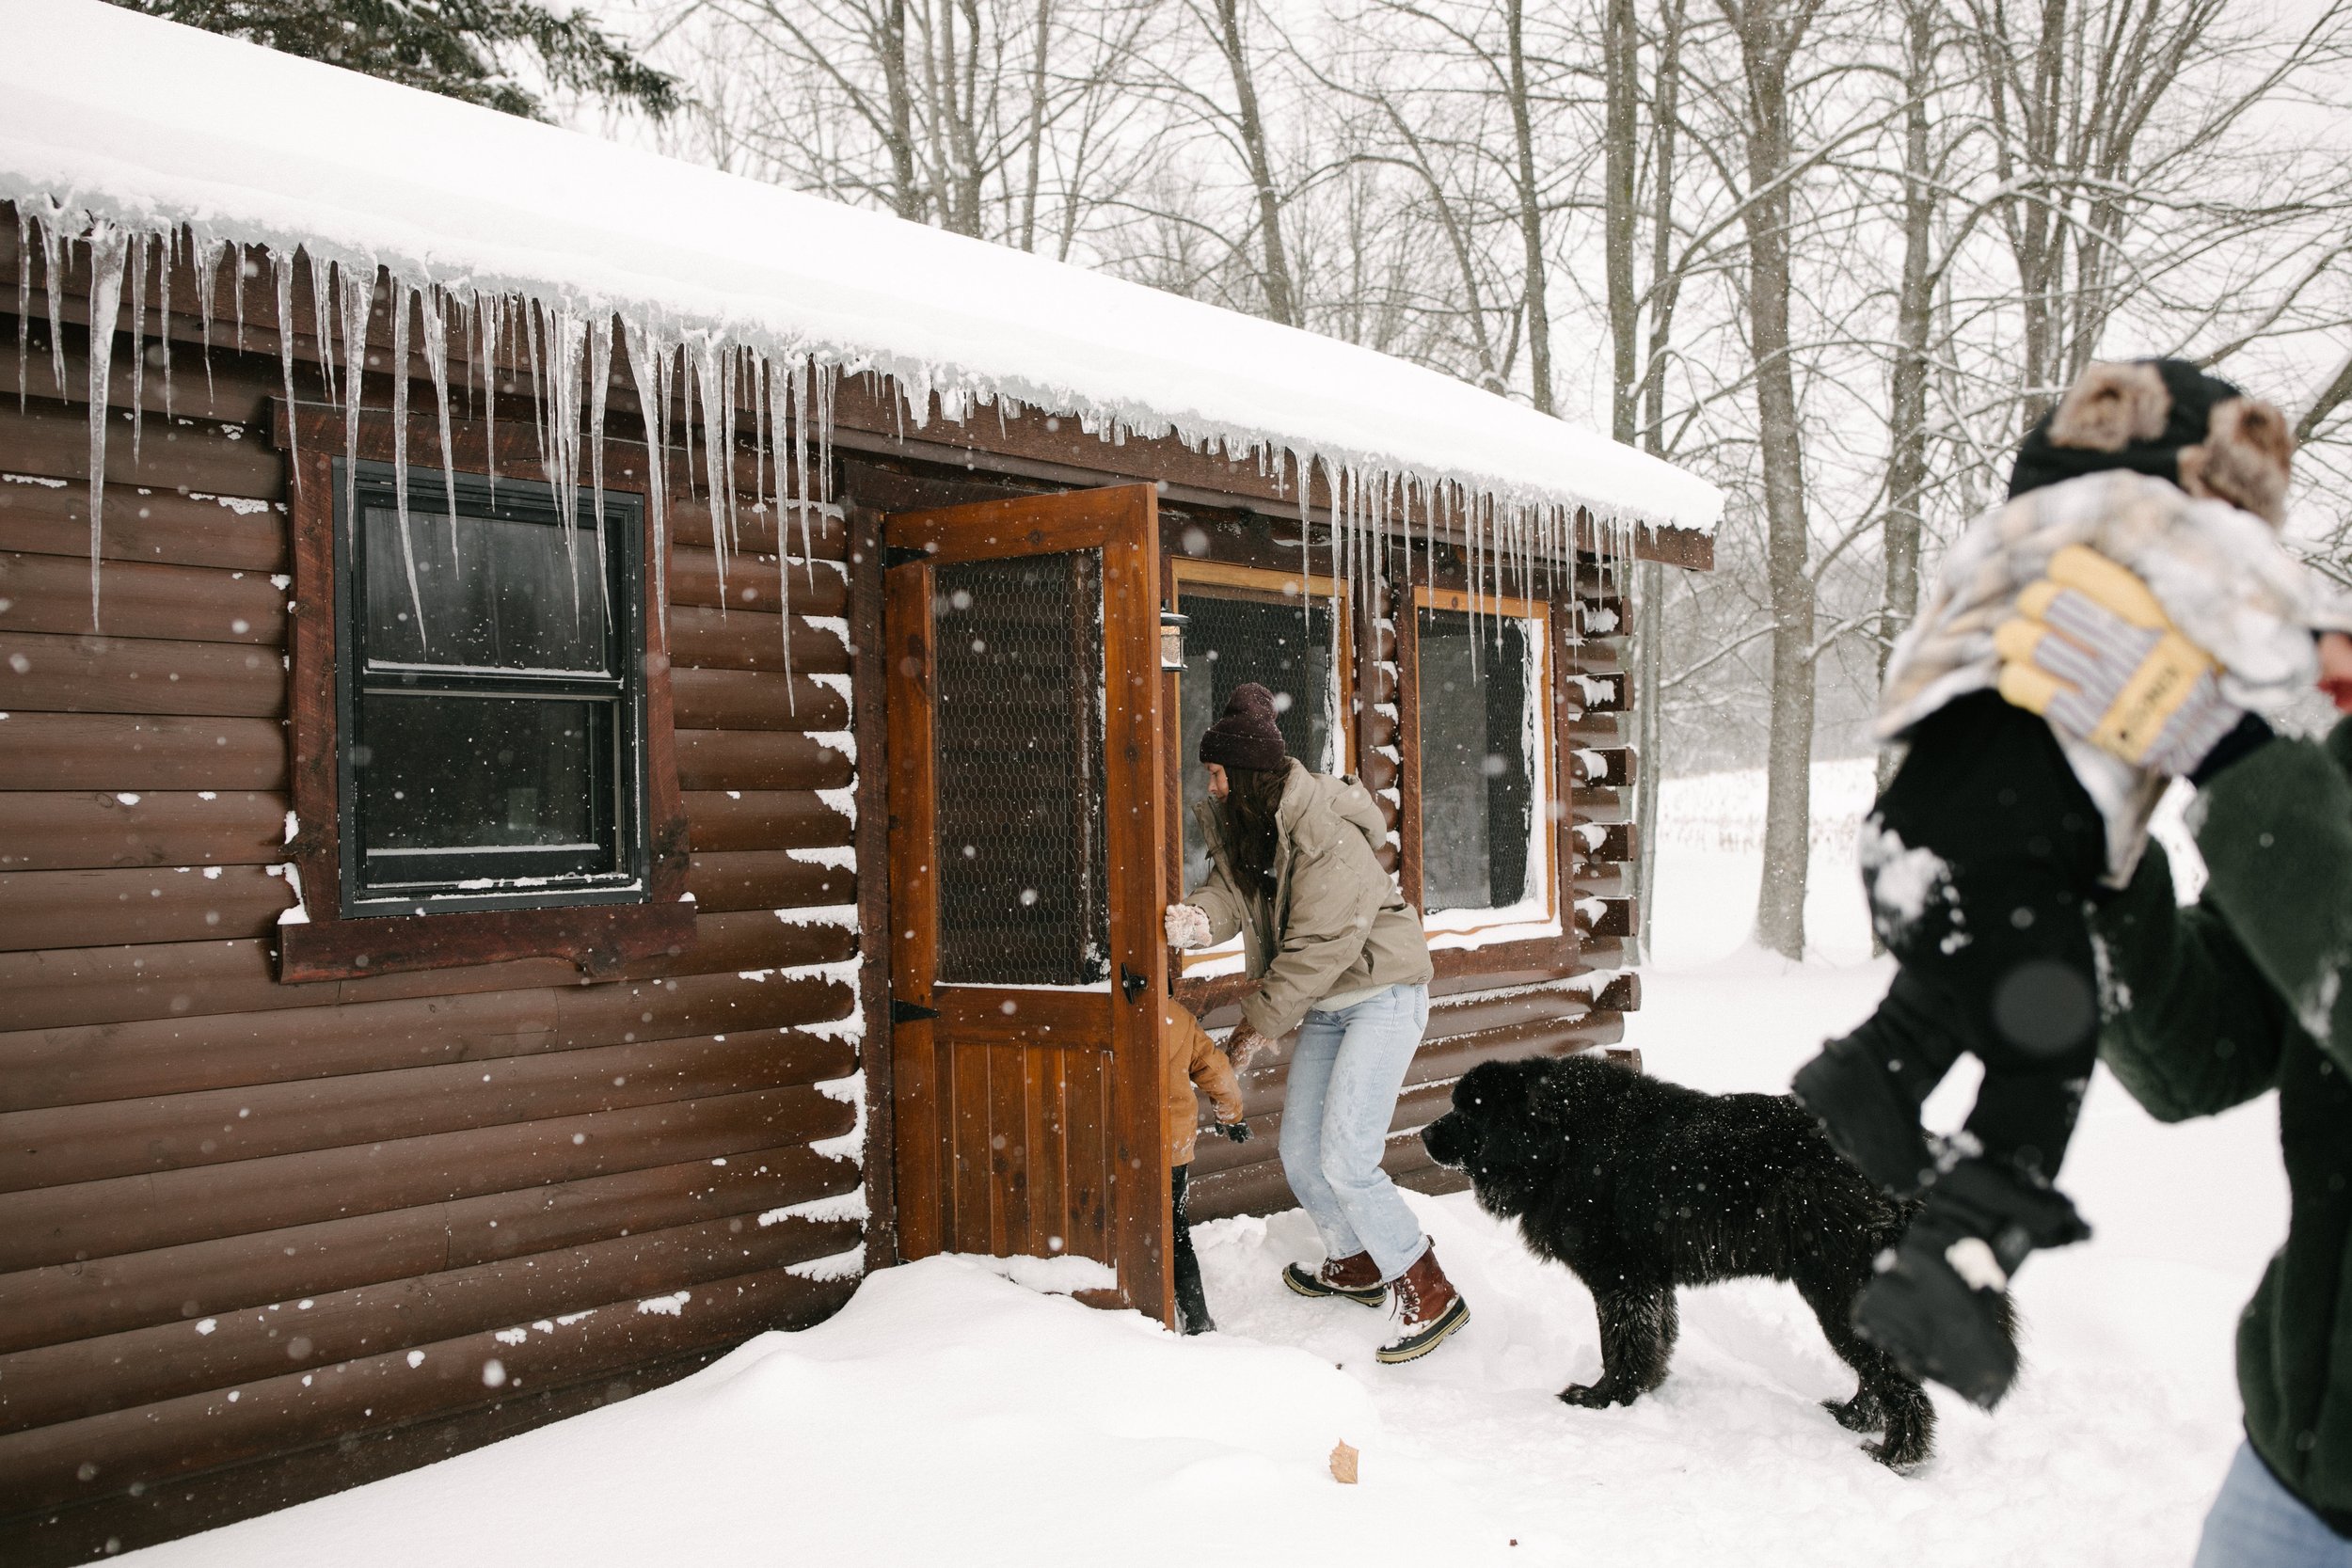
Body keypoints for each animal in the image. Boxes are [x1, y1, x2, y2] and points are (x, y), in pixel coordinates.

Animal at [1421, 1053, 2013, 1476]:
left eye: (1468, 1111)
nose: (1425, 1133)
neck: (1561, 1142)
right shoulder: (1649, 1281)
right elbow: (1653, 1338)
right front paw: (1644, 1390)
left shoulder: (1620, 1278)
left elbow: (1620, 1344)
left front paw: (1602, 1399)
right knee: (1878, 1374)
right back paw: (1851, 1418)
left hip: (1840, 1290)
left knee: (1897, 1381)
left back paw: (1894, 1457)